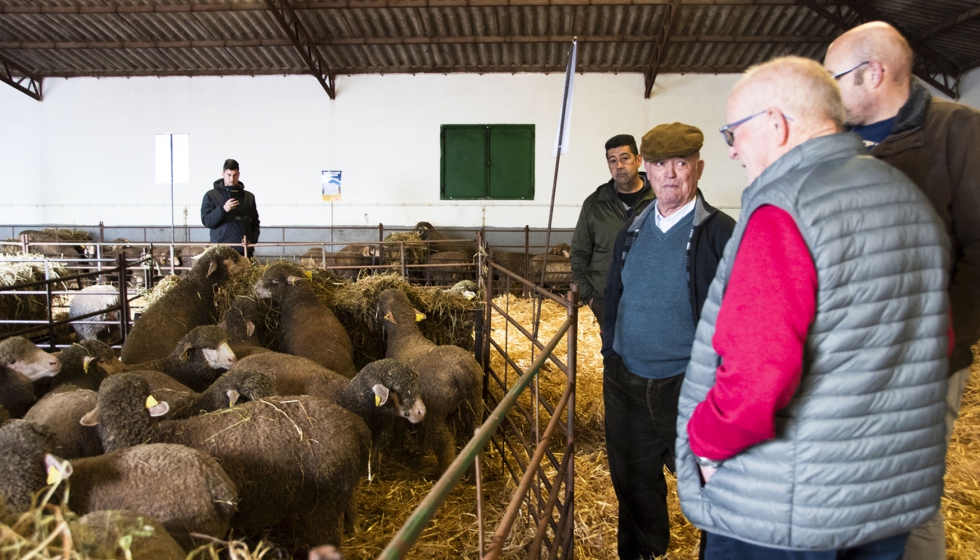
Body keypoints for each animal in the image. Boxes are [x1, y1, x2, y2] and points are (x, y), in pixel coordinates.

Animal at [376, 288, 482, 476]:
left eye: (380, 305)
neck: (404, 335)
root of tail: (460, 369)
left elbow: (399, 426)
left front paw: (396, 449)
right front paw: (421, 449)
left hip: (436, 409)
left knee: (445, 443)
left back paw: (444, 473)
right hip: (474, 400)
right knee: (474, 430)